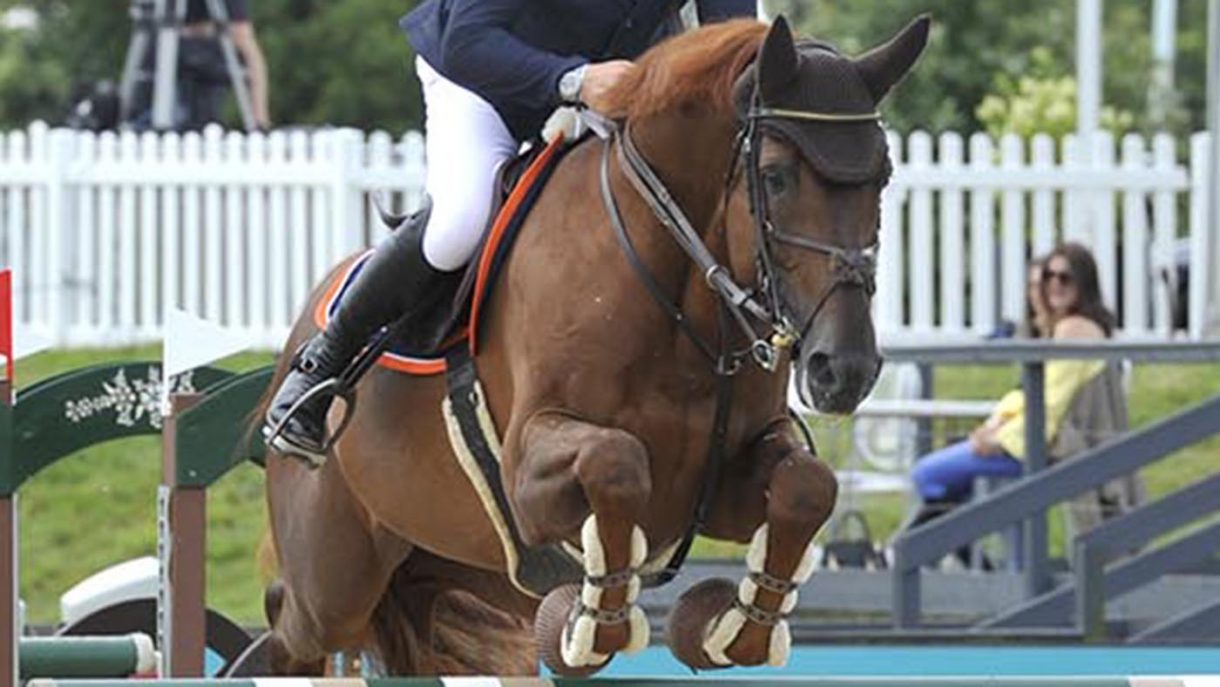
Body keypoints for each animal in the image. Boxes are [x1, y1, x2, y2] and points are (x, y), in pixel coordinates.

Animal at [260, 15, 929, 677]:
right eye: (776, 177)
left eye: (883, 177)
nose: (843, 369)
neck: (679, 304)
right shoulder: (529, 471)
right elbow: (616, 462)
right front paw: (596, 623)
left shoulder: (723, 484)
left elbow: (808, 485)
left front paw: (737, 627)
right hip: (334, 583)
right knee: (286, 624)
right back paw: (303, 402)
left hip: (456, 575)